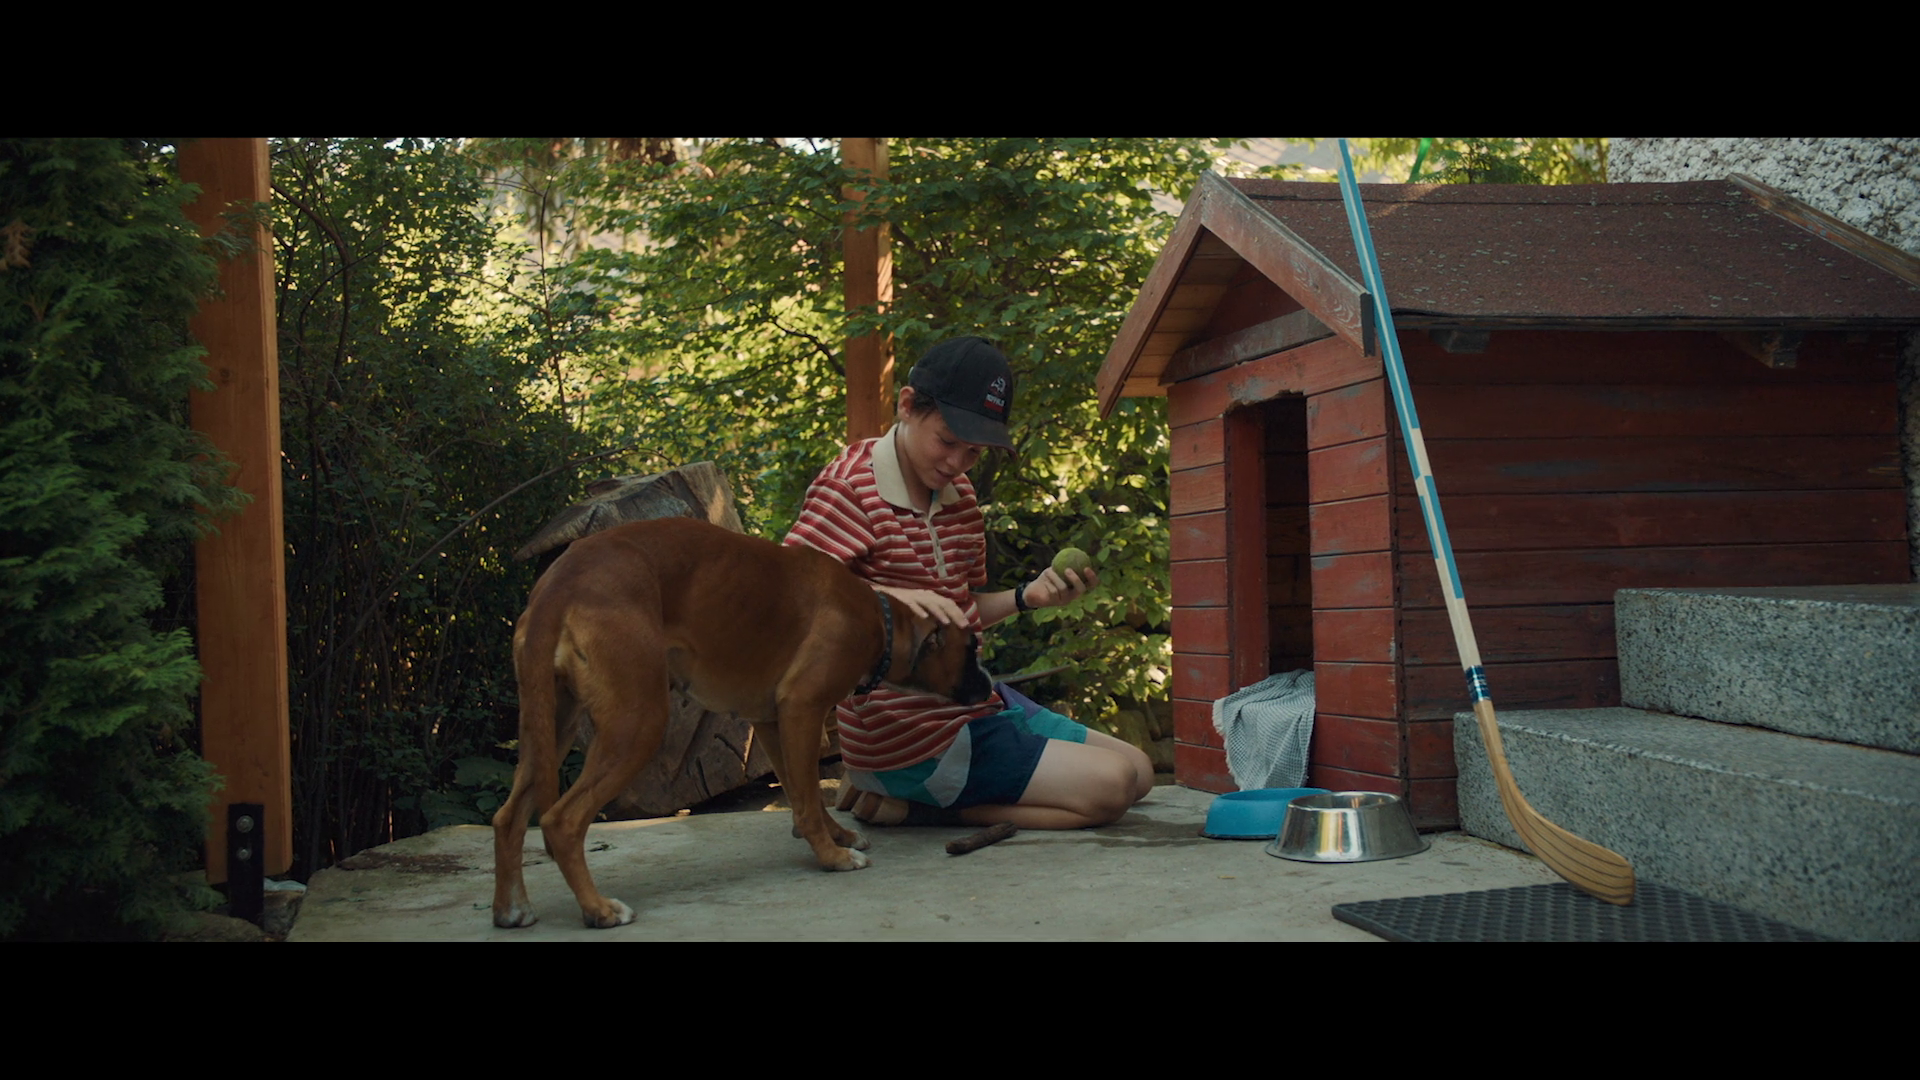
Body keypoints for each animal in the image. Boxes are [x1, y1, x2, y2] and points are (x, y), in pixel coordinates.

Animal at [492, 515, 993, 929]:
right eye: (971, 649)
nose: (989, 683)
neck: (882, 620)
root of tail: (559, 581)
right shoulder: (802, 708)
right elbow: (807, 798)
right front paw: (832, 857)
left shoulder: (772, 722)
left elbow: (803, 794)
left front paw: (837, 836)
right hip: (637, 722)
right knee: (562, 821)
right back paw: (599, 910)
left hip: (551, 725)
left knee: (509, 816)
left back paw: (512, 909)